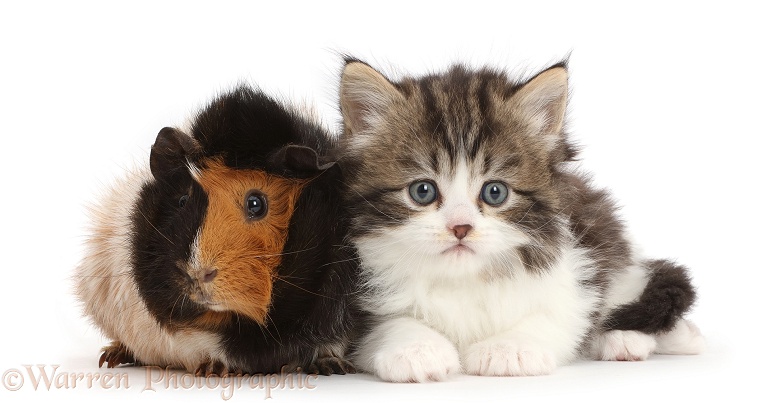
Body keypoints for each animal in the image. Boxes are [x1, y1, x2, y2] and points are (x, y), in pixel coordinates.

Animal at [338, 58, 708, 384]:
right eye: (423, 191)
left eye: (495, 192)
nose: (460, 228)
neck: (462, 279)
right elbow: (389, 324)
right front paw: (416, 349)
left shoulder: (574, 272)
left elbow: (557, 315)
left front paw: (509, 348)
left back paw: (649, 337)